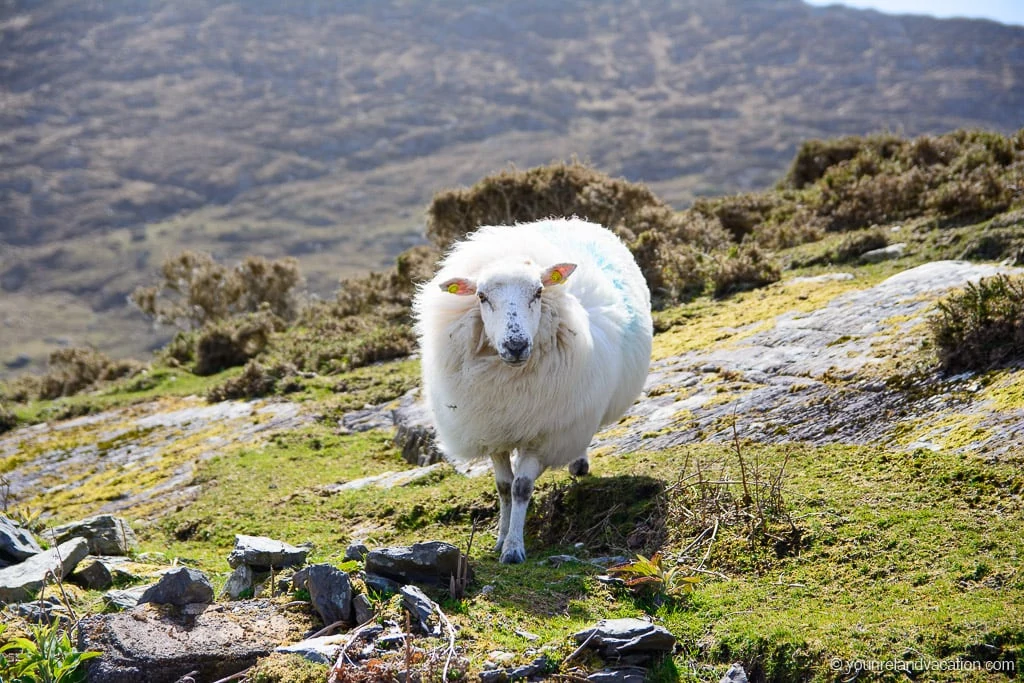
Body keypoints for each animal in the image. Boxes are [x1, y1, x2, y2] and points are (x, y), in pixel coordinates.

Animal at [411, 216, 651, 565]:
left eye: (538, 292)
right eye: (481, 296)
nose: (516, 345)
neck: (510, 381)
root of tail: (565, 220)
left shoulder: (543, 433)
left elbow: (521, 487)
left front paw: (513, 548)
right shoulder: (492, 430)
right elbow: (503, 486)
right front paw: (500, 538)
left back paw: (578, 463)